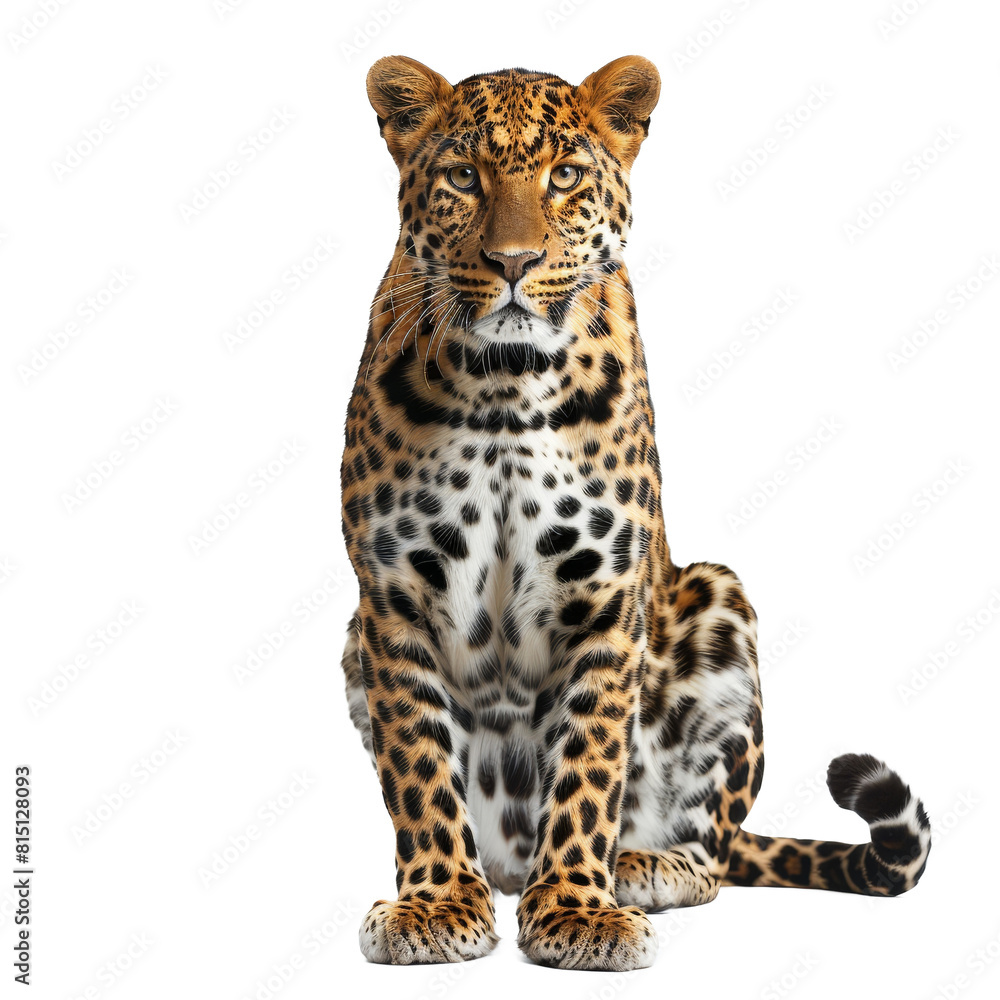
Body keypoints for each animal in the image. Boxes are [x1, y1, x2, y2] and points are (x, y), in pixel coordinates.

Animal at [339, 54, 931, 971]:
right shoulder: (392, 597)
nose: (514, 261)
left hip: (719, 602)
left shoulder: (606, 598)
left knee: (715, 851)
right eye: (464, 178)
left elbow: (589, 763)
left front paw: (580, 910)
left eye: (564, 177)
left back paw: (642, 865)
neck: (503, 381)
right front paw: (433, 903)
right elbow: (420, 768)